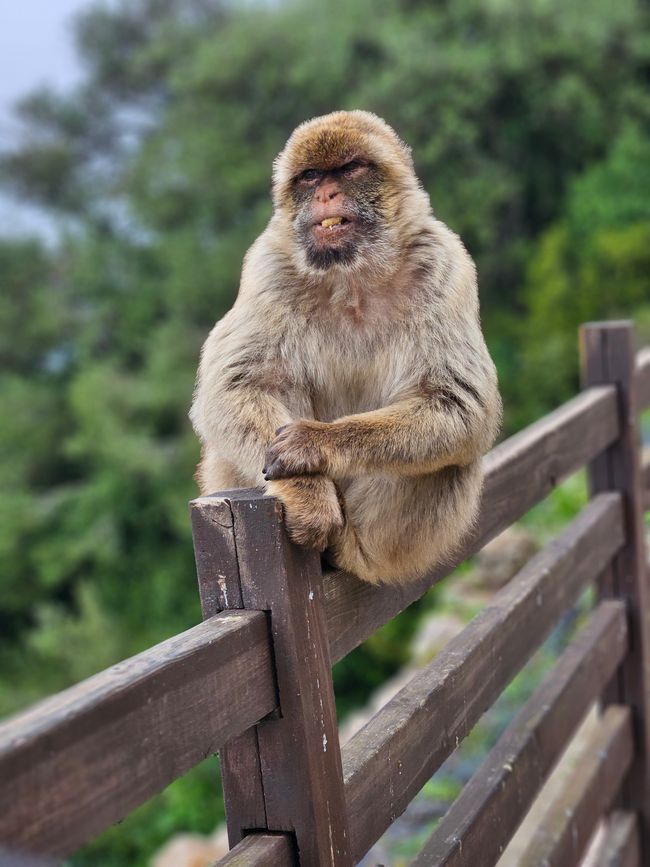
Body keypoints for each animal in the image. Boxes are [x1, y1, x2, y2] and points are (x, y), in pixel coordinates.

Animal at [190, 110, 501, 585]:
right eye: (310, 176)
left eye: (351, 169)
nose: (327, 193)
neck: (351, 275)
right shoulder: (266, 267)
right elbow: (233, 388)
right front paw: (309, 495)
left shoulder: (444, 262)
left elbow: (460, 403)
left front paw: (314, 444)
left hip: (395, 543)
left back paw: (342, 553)